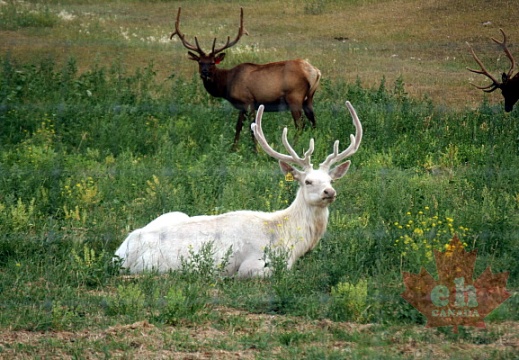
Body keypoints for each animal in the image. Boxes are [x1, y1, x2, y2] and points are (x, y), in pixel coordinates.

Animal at [116, 100, 364, 278]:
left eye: (331, 180)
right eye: (308, 181)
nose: (329, 193)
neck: (291, 242)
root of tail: (121, 253)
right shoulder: (254, 263)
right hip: (156, 266)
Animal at [171, 8, 322, 146]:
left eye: (213, 62)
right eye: (200, 62)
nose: (205, 73)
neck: (227, 84)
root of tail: (315, 71)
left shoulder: (248, 101)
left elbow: (252, 129)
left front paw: (256, 151)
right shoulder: (242, 106)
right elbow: (238, 127)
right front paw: (233, 149)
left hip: (294, 96)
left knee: (300, 125)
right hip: (308, 98)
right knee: (313, 122)